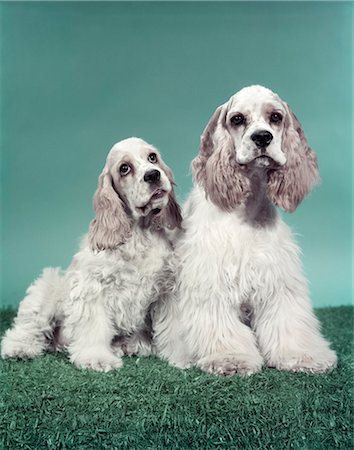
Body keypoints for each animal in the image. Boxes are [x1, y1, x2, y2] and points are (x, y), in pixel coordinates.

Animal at [0, 137, 183, 372]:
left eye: (153, 157)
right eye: (124, 168)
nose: (153, 175)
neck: (138, 235)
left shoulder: (167, 289)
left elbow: (174, 329)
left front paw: (182, 357)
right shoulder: (92, 288)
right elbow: (93, 328)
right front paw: (97, 359)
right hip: (47, 288)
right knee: (28, 326)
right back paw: (19, 348)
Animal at [155, 86, 338, 374]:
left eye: (276, 116)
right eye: (237, 119)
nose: (262, 137)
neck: (247, 211)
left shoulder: (277, 281)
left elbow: (288, 321)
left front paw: (303, 356)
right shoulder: (212, 280)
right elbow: (221, 326)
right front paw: (230, 359)